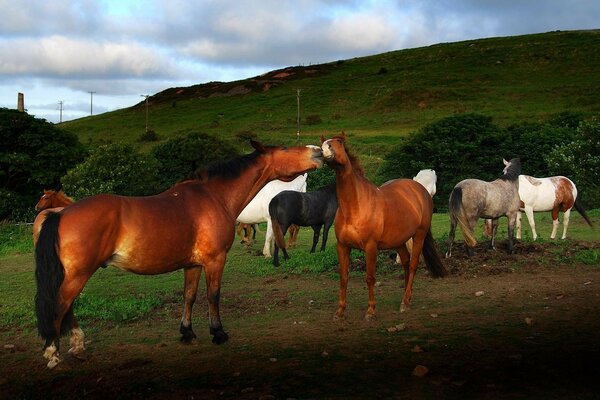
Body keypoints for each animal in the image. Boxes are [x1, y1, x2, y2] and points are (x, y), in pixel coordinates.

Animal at [34, 141, 322, 368]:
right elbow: (213, 296)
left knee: (67, 306)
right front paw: (218, 333)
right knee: (60, 306)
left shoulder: (192, 264)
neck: (214, 196)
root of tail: (60, 214)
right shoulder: (215, 260)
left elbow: (189, 296)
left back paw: (78, 347)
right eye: (284, 149)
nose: (318, 151)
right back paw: (54, 353)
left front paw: (187, 332)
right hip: (78, 274)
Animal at [318, 133, 446, 320]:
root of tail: (420, 190)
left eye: (339, 142)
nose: (324, 150)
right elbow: (343, 278)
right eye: (322, 143)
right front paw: (340, 311)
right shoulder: (342, 246)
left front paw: (371, 311)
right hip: (399, 241)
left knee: (413, 265)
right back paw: (407, 297)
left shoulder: (371, 247)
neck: (355, 206)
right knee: (406, 263)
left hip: (419, 236)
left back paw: (405, 302)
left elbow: (370, 278)